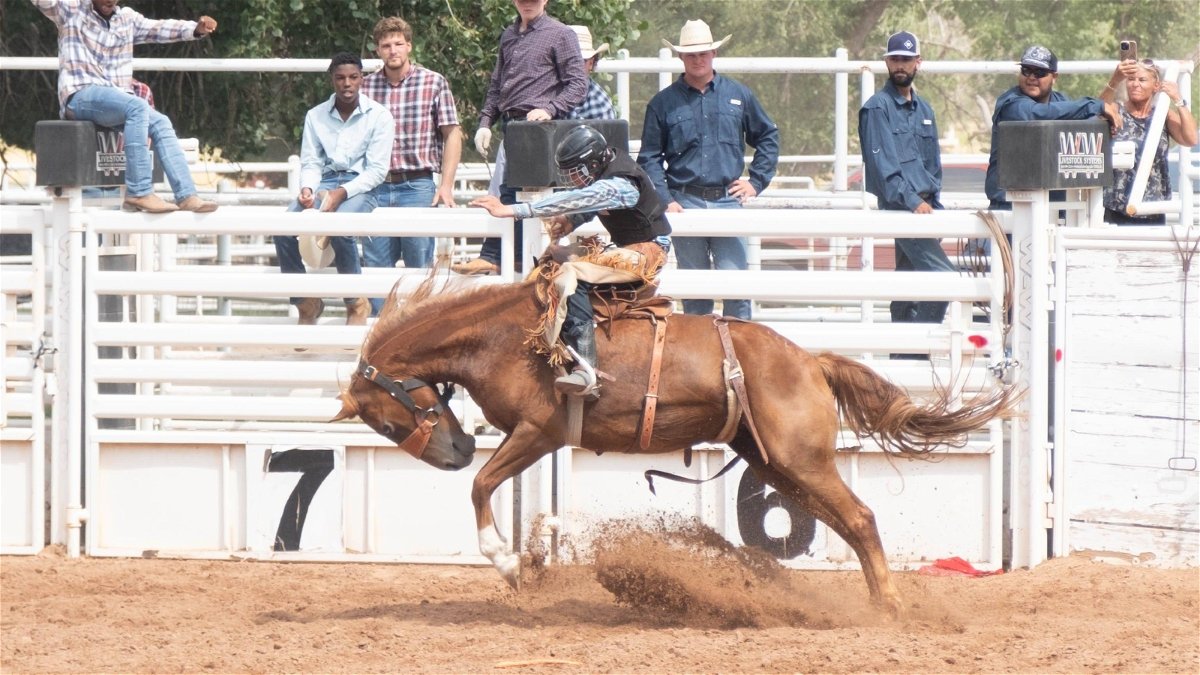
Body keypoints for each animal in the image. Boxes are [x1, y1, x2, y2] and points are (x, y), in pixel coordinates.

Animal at [336, 275, 1012, 614]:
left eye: (388, 423)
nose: (453, 452)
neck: (503, 337)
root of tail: (809, 360)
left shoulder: (537, 432)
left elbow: (483, 486)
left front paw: (509, 564)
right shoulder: (532, 438)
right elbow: (490, 487)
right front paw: (529, 555)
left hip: (801, 460)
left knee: (862, 517)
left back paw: (889, 606)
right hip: (779, 465)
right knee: (844, 521)